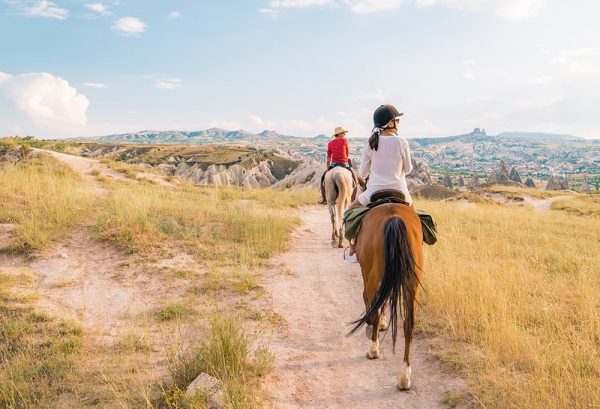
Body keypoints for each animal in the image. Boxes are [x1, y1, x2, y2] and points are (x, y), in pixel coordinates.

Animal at [350, 202, 424, 390]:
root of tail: (394, 217)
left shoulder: (366, 274)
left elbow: (371, 300)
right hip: (412, 282)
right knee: (409, 324)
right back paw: (404, 378)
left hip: (373, 274)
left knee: (374, 308)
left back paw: (373, 350)